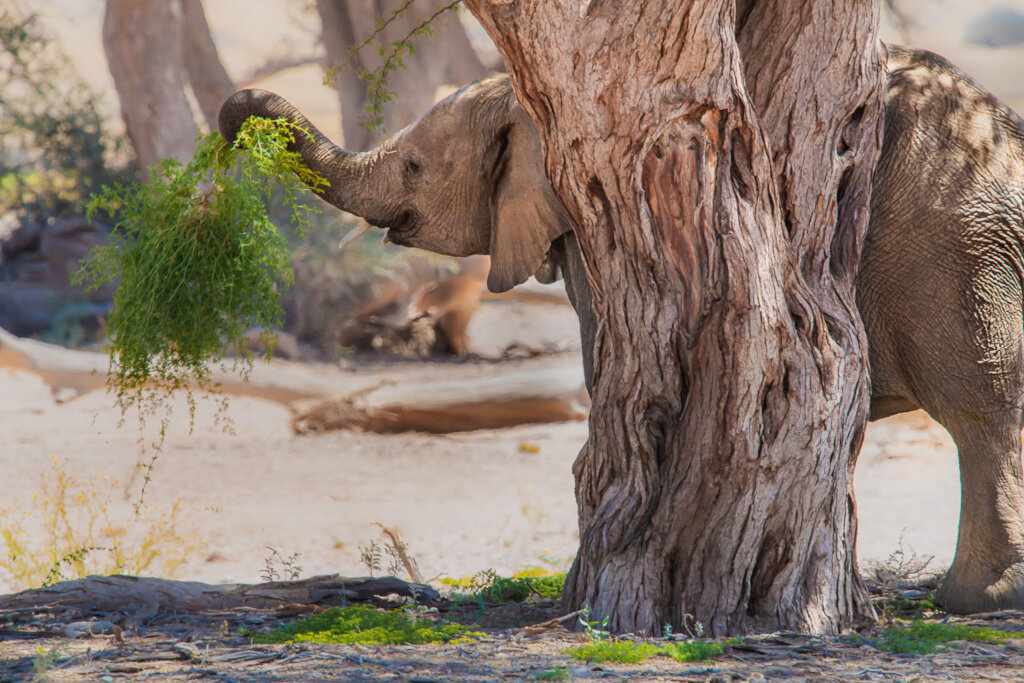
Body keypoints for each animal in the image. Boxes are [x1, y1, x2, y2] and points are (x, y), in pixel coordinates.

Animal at [220, 45, 1024, 614]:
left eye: (415, 165)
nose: (232, 132)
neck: (522, 99)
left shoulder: (589, 224)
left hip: (952, 251)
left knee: (982, 409)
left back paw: (973, 601)